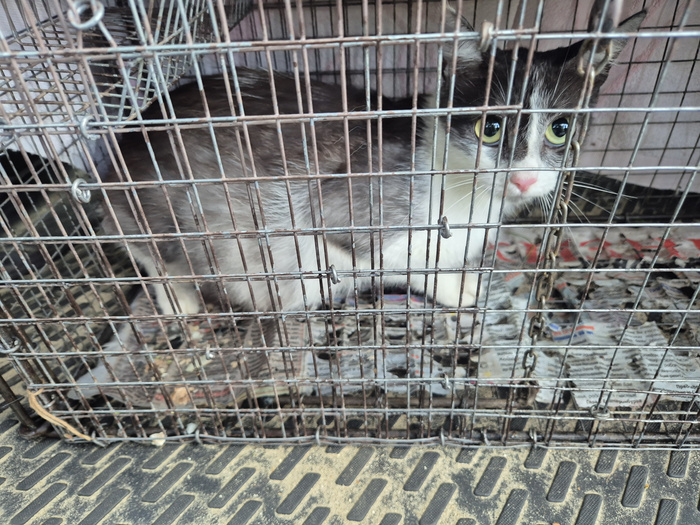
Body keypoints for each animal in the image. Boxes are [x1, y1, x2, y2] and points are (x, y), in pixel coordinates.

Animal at [102, 9, 645, 317]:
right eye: (490, 126)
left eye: (561, 129)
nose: (525, 177)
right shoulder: (346, 212)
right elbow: (405, 261)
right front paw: (458, 288)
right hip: (156, 217)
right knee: (153, 257)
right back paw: (181, 303)